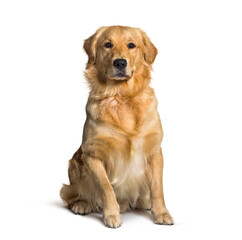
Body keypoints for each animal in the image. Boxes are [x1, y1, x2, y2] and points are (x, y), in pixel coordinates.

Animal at [60, 25, 174, 228]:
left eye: (131, 45)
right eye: (107, 44)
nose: (120, 63)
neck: (122, 96)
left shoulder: (154, 151)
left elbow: (158, 188)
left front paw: (161, 212)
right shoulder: (92, 154)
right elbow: (106, 188)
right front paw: (112, 215)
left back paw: (144, 202)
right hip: (74, 165)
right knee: (70, 195)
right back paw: (82, 204)